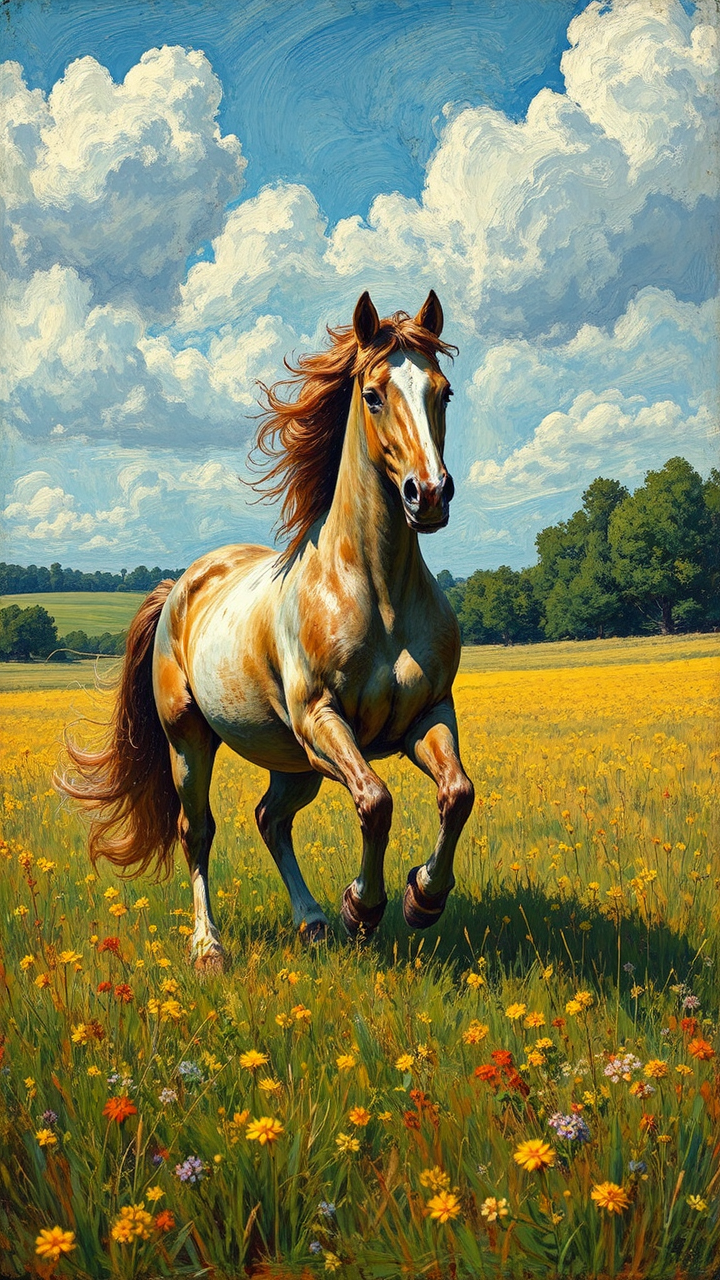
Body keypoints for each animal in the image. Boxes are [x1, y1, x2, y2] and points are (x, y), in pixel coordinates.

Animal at [57, 290, 475, 971]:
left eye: (444, 391)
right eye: (373, 394)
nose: (430, 494)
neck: (378, 594)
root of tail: (179, 587)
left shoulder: (428, 715)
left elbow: (457, 793)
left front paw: (422, 898)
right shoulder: (322, 720)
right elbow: (376, 800)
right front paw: (364, 907)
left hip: (294, 762)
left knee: (269, 819)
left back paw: (311, 921)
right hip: (192, 742)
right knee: (198, 831)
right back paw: (209, 947)